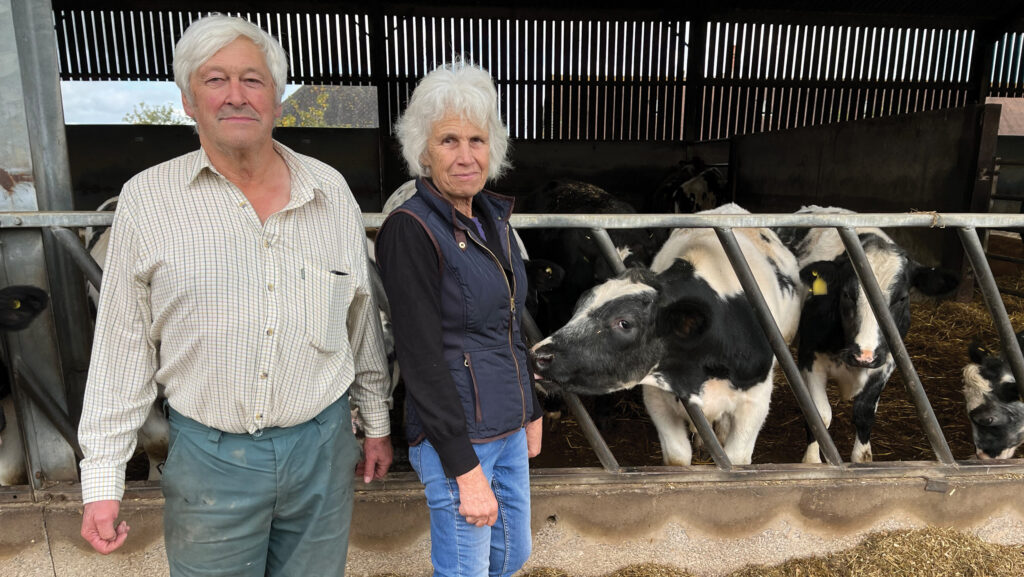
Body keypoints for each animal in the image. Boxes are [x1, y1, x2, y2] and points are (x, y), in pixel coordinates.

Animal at [532, 202, 802, 465]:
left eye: (624, 323)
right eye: (578, 307)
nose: (538, 356)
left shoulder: (754, 403)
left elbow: (737, 459)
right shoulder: (656, 399)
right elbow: (677, 457)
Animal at [774, 204, 958, 463]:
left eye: (902, 298)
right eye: (847, 294)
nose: (864, 356)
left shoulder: (886, 361)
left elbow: (865, 412)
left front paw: (862, 459)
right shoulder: (810, 357)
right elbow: (820, 415)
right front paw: (812, 461)